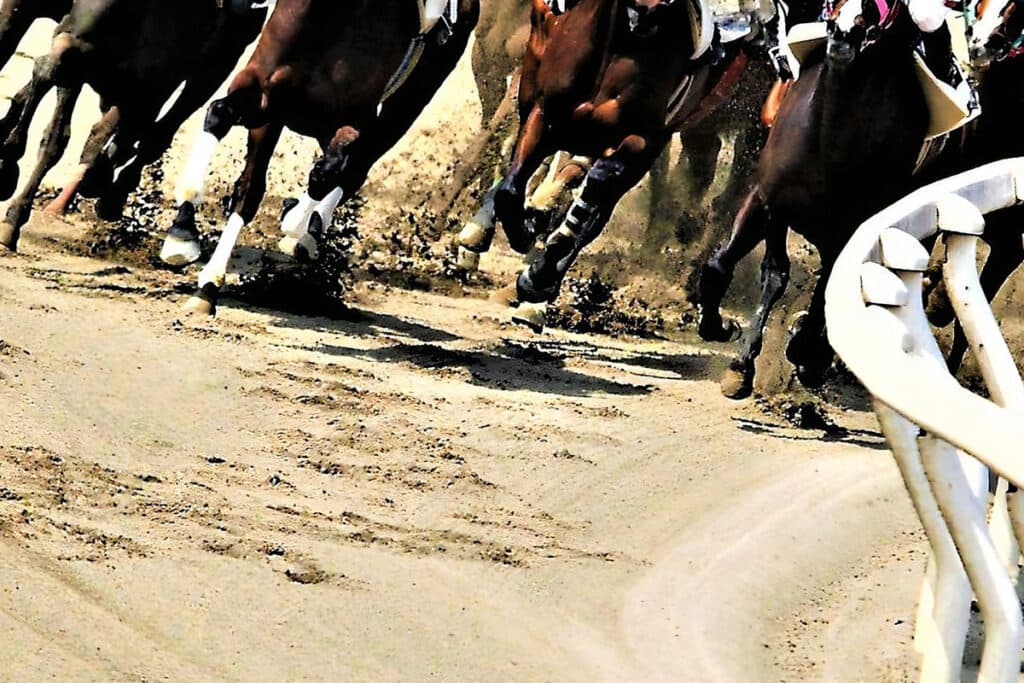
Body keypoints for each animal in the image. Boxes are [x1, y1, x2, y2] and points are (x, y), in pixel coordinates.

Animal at [0, 0, 268, 253]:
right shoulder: (78, 43)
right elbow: (55, 128)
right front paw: (9, 164)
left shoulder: (155, 78)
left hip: (207, 67)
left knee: (153, 133)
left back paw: (106, 189)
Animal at [162, 0, 481, 316]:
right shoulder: (264, 99)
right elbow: (222, 123)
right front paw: (184, 239)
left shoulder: (354, 120)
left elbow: (326, 174)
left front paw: (297, 226)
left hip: (406, 106)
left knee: (354, 169)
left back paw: (307, 233)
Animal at [697, 0, 933, 399]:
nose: (845, 31)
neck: (827, 142)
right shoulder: (769, 197)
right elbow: (757, 270)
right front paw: (730, 346)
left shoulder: (849, 229)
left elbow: (826, 291)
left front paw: (805, 351)